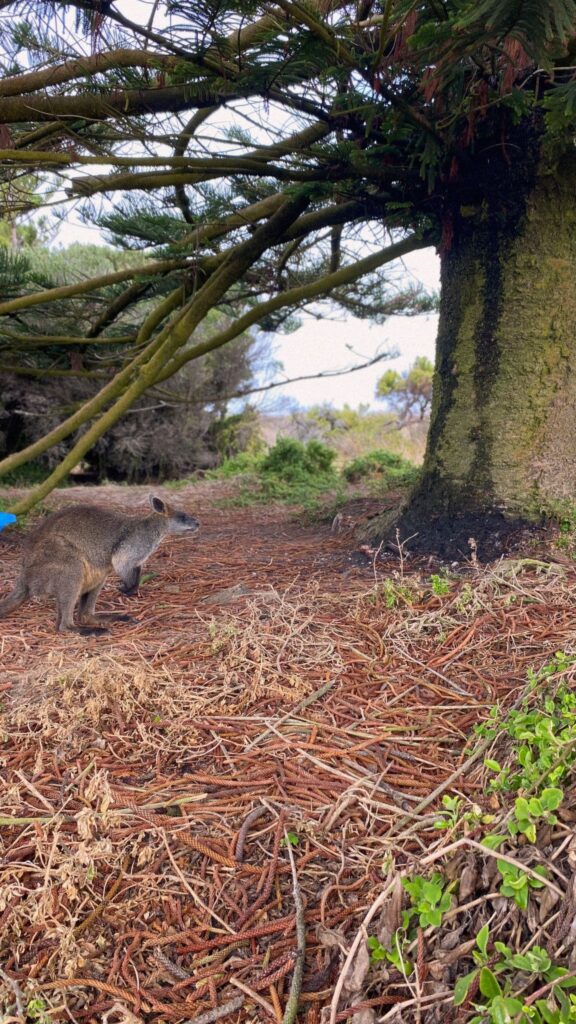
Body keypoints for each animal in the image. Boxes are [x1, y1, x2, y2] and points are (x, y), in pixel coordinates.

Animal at [0, 494, 199, 635]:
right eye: (183, 516)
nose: (198, 522)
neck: (153, 529)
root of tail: (24, 579)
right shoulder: (128, 551)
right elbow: (121, 564)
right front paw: (126, 589)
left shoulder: (135, 560)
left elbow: (136, 571)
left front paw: (129, 589)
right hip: (66, 564)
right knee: (63, 625)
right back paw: (92, 631)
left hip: (97, 576)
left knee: (85, 615)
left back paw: (117, 618)